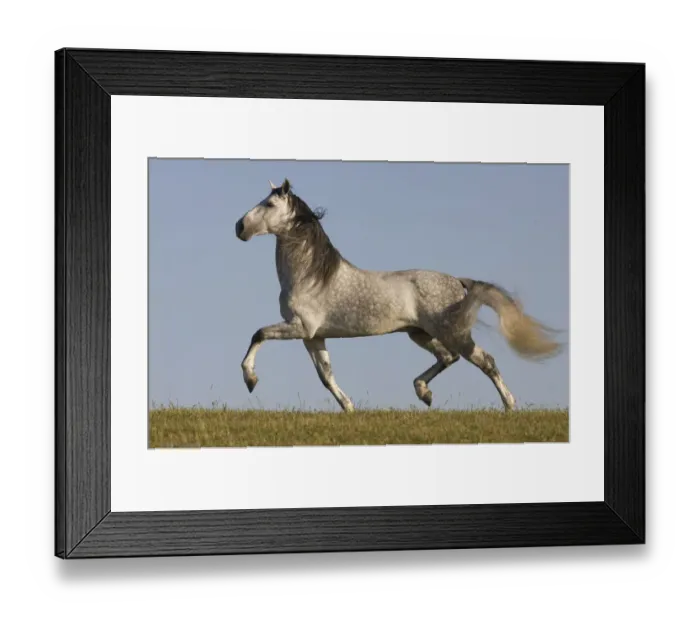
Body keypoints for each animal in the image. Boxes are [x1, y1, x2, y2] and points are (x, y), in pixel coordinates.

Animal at [234, 178, 562, 413]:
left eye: (269, 203)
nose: (240, 227)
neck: (311, 277)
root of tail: (459, 282)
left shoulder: (300, 327)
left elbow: (258, 334)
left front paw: (250, 379)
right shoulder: (313, 336)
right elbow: (326, 376)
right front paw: (349, 408)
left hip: (453, 333)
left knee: (485, 361)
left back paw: (509, 405)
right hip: (419, 333)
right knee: (448, 357)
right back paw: (424, 393)